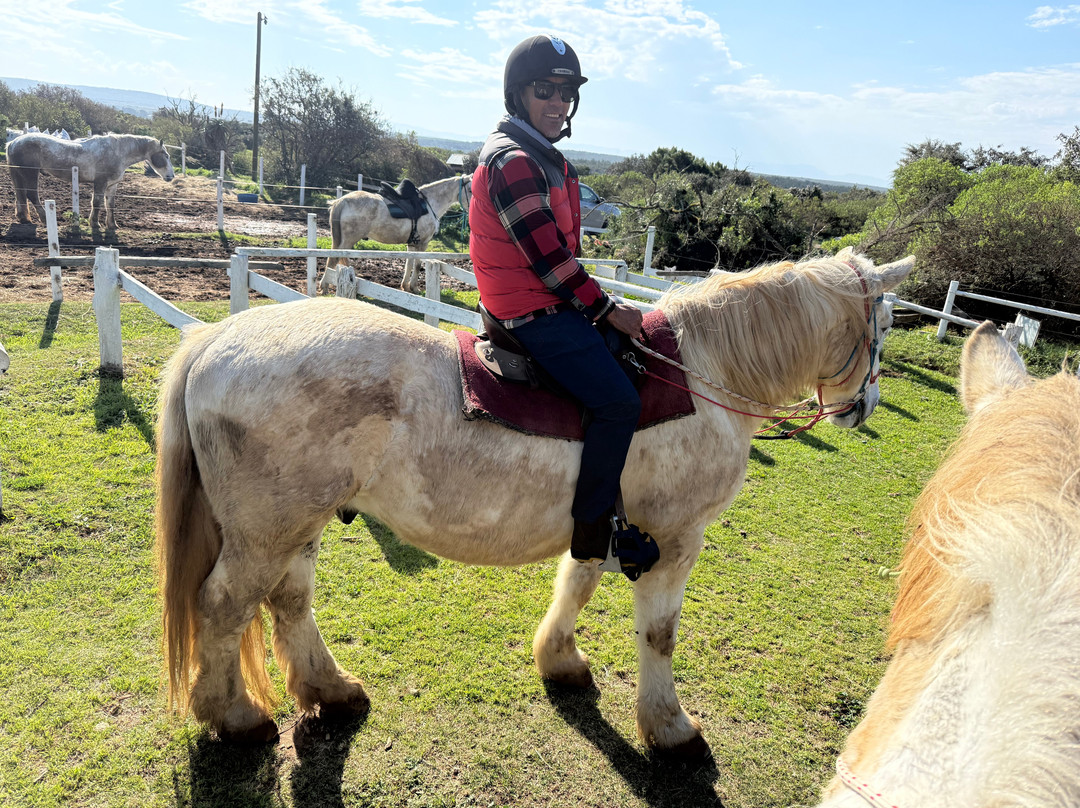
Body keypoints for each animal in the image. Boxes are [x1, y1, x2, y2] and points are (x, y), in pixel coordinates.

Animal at [7, 133, 174, 236]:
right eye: (166, 155)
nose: (171, 176)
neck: (117, 152)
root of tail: (13, 143)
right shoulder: (100, 182)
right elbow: (97, 202)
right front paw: (94, 223)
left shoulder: (112, 185)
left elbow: (110, 205)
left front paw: (112, 225)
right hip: (31, 173)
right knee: (31, 195)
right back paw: (43, 218)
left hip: (19, 174)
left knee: (20, 195)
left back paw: (24, 219)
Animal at [155, 247, 913, 753]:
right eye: (883, 326)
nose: (862, 407)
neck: (699, 372)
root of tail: (217, 339)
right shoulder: (675, 539)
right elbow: (659, 634)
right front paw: (670, 727)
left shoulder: (604, 518)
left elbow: (576, 582)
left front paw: (560, 659)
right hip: (264, 533)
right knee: (223, 607)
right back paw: (235, 716)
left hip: (296, 525)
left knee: (288, 602)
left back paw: (329, 690)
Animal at [319, 174, 472, 295]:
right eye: (470, 190)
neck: (429, 204)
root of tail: (342, 201)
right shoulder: (423, 244)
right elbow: (417, 265)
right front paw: (414, 288)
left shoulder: (412, 244)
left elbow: (409, 264)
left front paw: (405, 286)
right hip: (349, 240)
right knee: (333, 259)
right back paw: (325, 286)